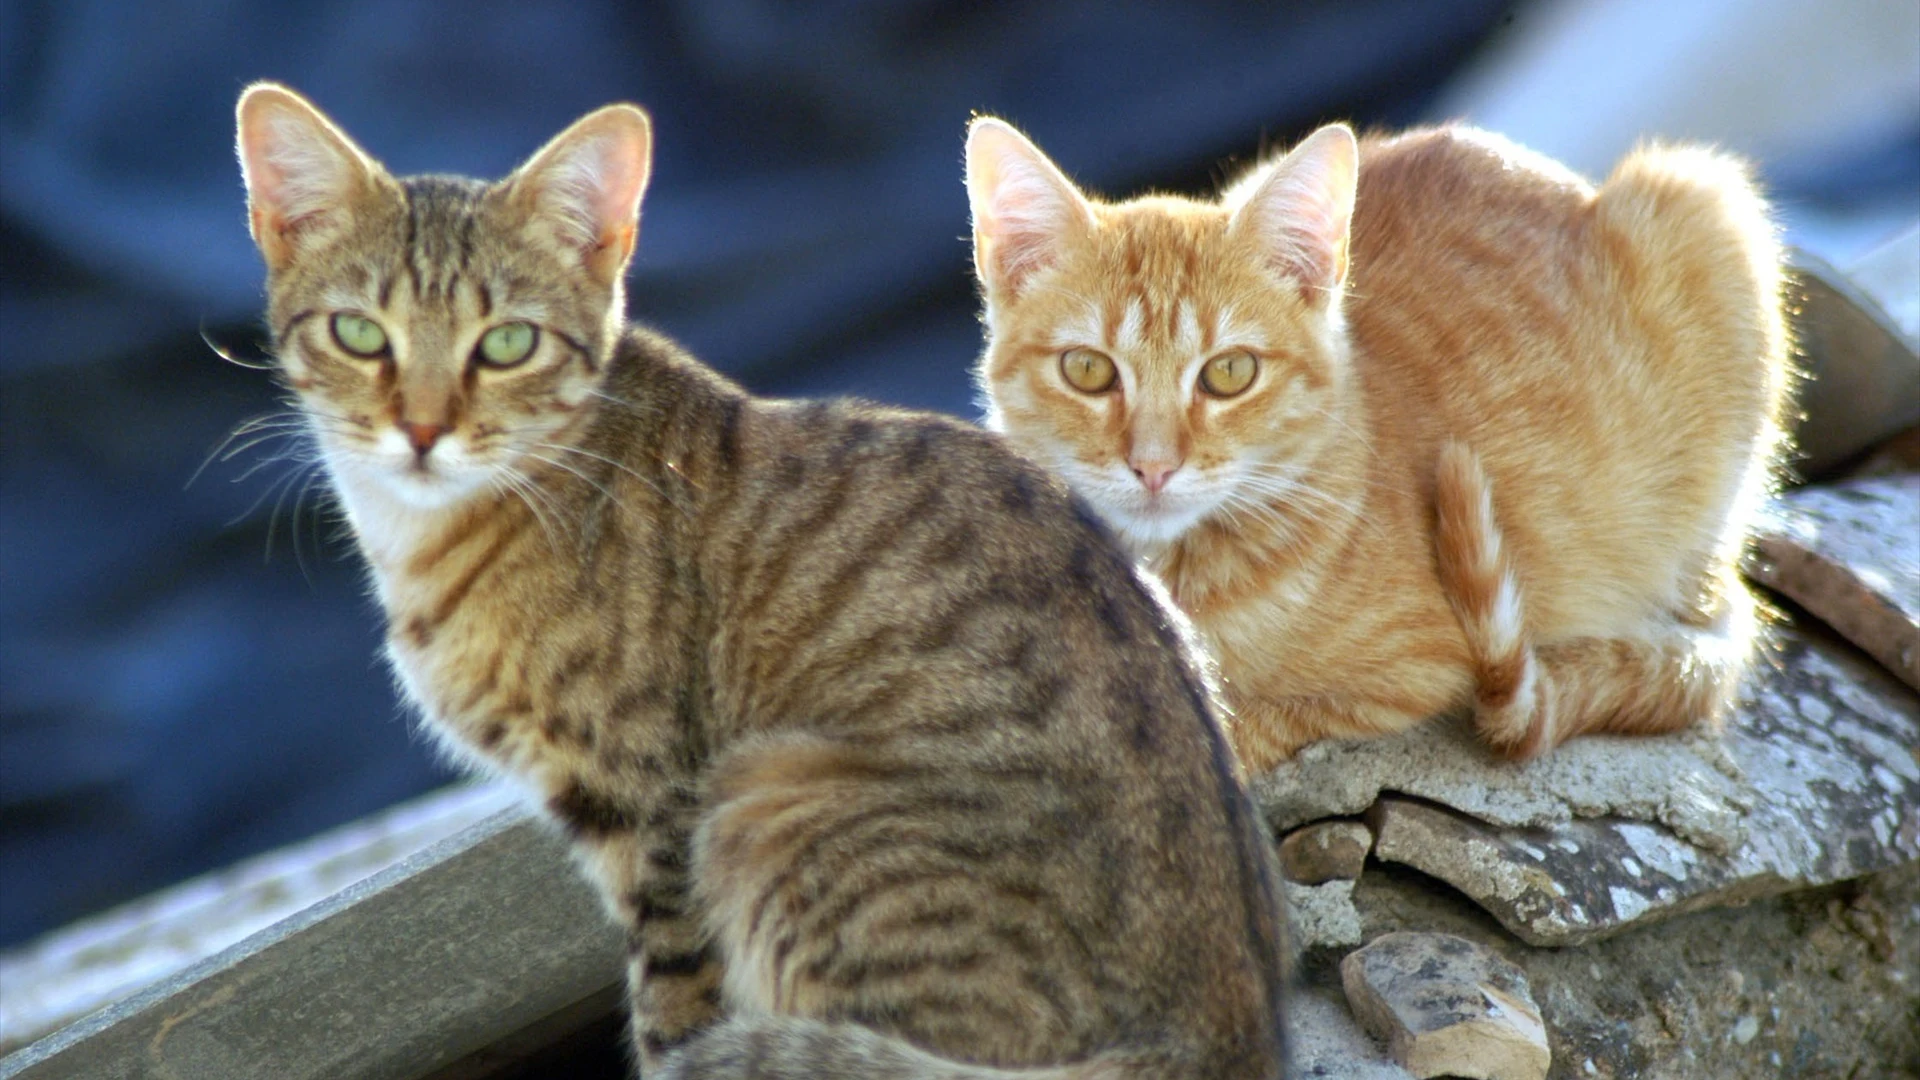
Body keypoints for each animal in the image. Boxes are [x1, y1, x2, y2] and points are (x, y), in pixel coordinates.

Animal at [240, 85, 1290, 1076]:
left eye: (507, 343)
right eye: (358, 333)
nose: (421, 430)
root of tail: (1223, 1033)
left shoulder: (655, 814)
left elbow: (673, 1010)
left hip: (766, 799)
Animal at [967, 117, 1789, 768]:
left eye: (1230, 373)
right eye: (1088, 370)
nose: (1153, 466)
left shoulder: (1418, 673)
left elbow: (1240, 727)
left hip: (1705, 206)